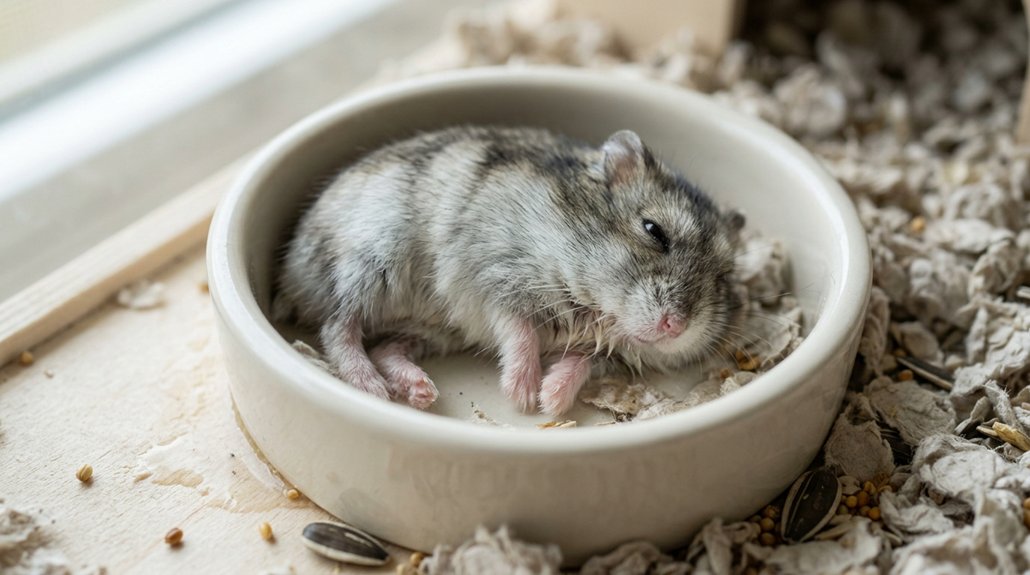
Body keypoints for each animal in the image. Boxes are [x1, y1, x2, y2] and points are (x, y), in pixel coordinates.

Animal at [274, 126, 745, 416]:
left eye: (722, 279)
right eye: (653, 230)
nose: (675, 326)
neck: (594, 309)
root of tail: (289, 280)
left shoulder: (604, 352)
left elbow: (580, 361)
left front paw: (550, 400)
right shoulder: (497, 279)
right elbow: (519, 332)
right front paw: (522, 396)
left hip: (432, 330)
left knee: (387, 347)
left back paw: (421, 390)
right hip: (369, 264)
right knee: (339, 329)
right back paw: (372, 387)